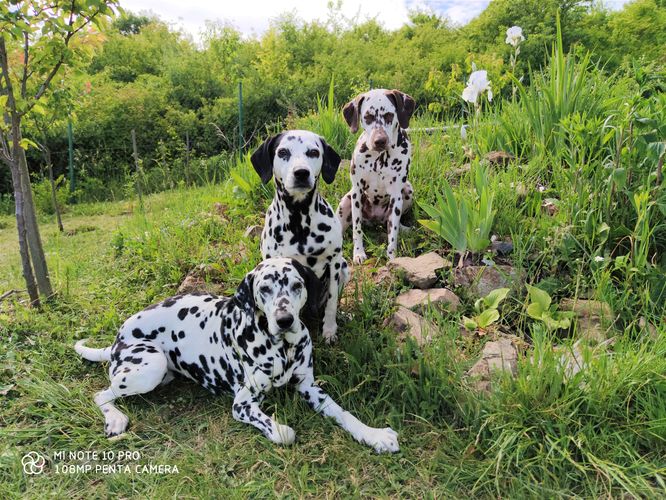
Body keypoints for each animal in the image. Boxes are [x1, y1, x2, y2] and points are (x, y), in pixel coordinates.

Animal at [75, 258, 396, 454]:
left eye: (296, 286)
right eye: (265, 288)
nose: (284, 320)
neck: (283, 348)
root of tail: (118, 338)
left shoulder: (310, 387)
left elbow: (343, 413)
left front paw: (374, 435)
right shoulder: (242, 404)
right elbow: (285, 432)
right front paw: (281, 429)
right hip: (150, 365)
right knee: (100, 394)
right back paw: (115, 419)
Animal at [250, 129, 350, 344]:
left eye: (313, 152)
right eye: (283, 152)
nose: (301, 172)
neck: (299, 220)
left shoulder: (334, 263)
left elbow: (332, 303)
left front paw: (329, 330)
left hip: (345, 268)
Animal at [338, 89, 416, 266]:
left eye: (389, 115)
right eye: (367, 117)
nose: (380, 141)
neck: (380, 159)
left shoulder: (396, 196)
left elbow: (393, 235)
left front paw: (392, 259)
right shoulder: (357, 192)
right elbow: (357, 229)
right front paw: (358, 253)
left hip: (408, 191)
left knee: (391, 223)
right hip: (346, 200)